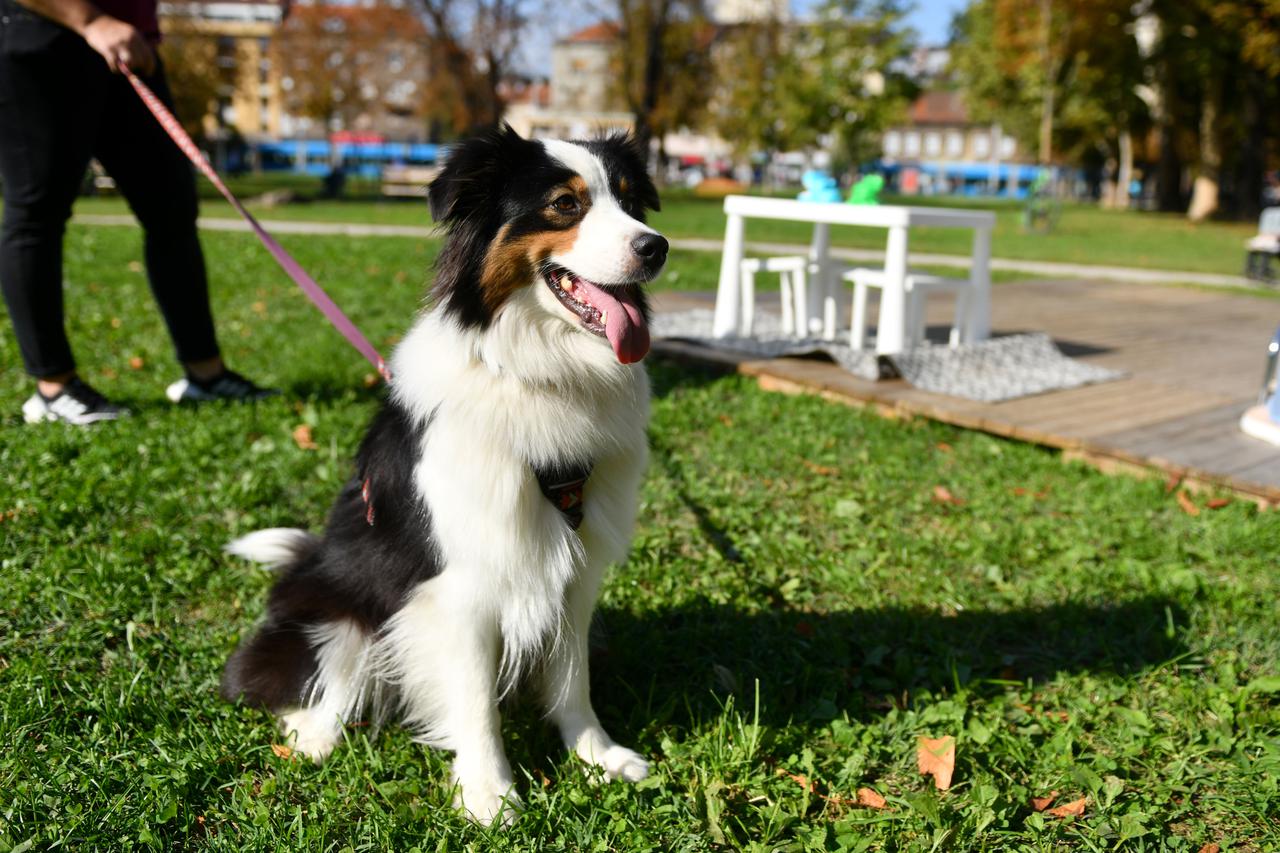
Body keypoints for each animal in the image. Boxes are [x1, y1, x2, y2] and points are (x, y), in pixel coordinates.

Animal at [225, 126, 670, 824]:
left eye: (630, 202)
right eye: (564, 205)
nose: (657, 247)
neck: (539, 373)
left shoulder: (575, 566)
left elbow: (572, 679)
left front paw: (595, 755)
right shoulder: (462, 581)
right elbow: (475, 700)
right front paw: (489, 794)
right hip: (340, 607)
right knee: (327, 675)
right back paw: (313, 736)